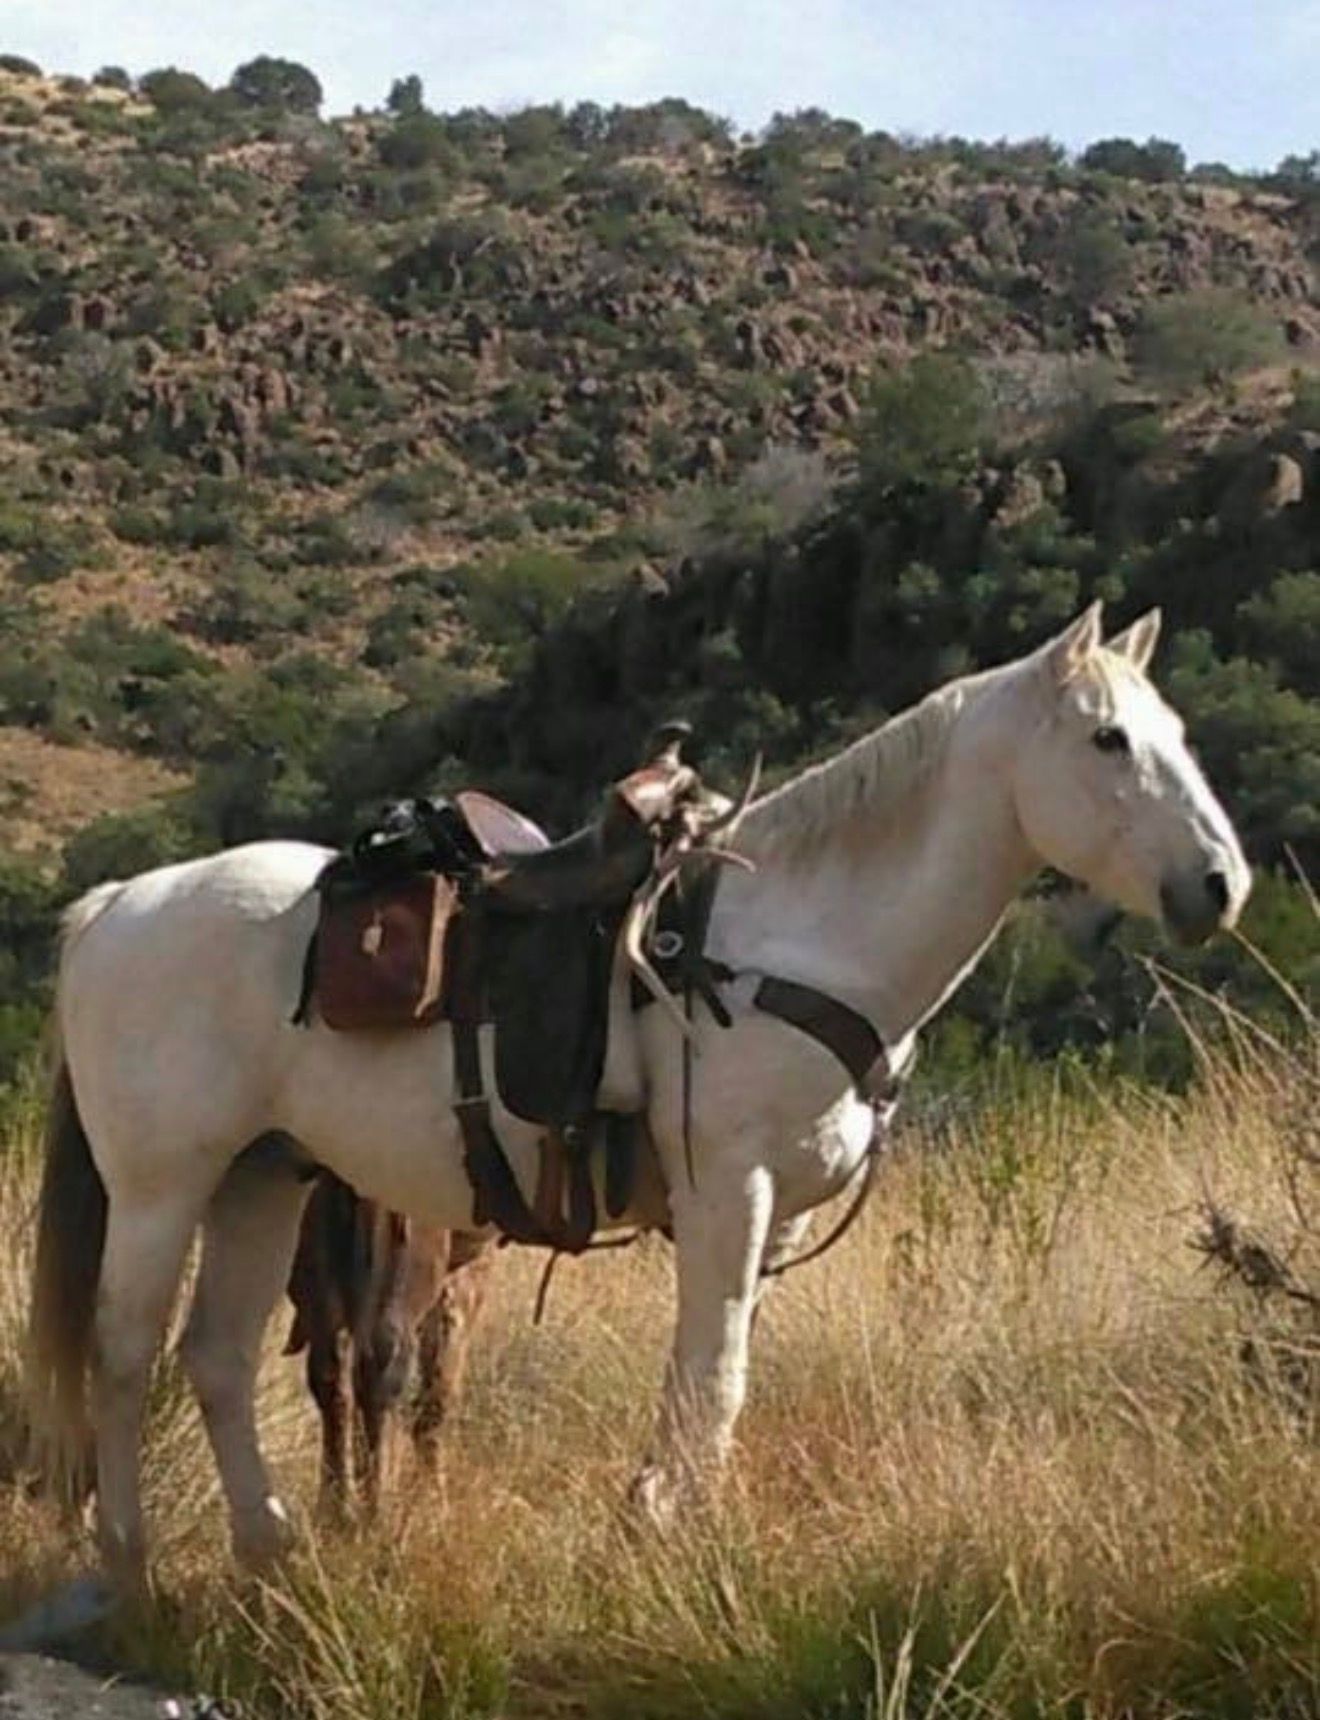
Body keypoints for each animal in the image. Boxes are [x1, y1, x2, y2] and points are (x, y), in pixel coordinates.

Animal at [284, 1174, 492, 1514]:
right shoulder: (463, 1277)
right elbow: (437, 1395)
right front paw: (433, 1501)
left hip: (319, 1280)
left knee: (332, 1378)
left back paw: (334, 1509)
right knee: (381, 1372)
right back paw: (378, 1509)